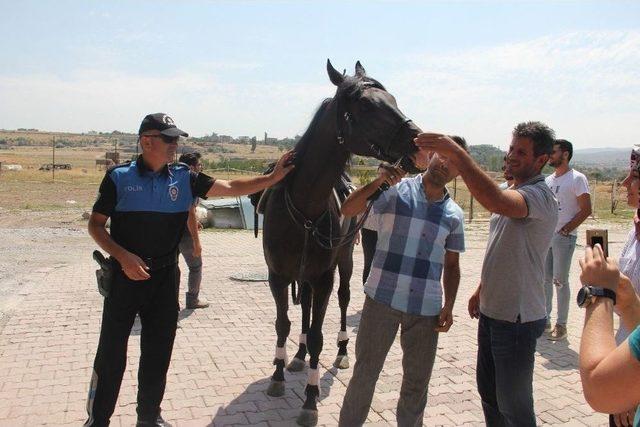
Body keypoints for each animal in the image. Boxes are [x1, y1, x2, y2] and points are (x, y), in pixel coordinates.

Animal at [260, 59, 420, 424]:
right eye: (366, 104)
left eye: (393, 97)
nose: (417, 139)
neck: (304, 206)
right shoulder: (278, 276)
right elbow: (282, 323)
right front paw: (278, 374)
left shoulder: (324, 277)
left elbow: (320, 335)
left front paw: (310, 399)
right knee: (304, 307)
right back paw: (298, 354)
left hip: (344, 263)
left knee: (345, 300)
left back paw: (343, 350)